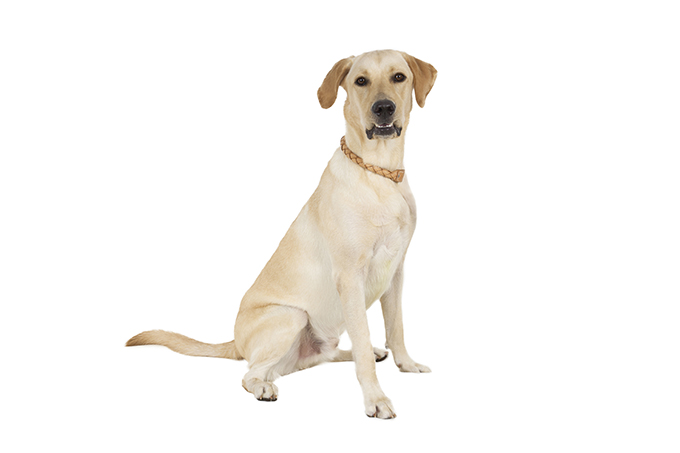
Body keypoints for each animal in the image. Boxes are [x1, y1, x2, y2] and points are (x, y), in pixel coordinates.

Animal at [127, 49, 437, 419]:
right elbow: (362, 341)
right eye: (361, 81)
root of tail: (236, 342)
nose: (384, 108)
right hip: (291, 316)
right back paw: (263, 387)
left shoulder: (396, 272)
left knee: (322, 355)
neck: (381, 173)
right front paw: (375, 399)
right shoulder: (350, 277)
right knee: (252, 372)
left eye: (398, 77)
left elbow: (395, 327)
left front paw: (407, 364)